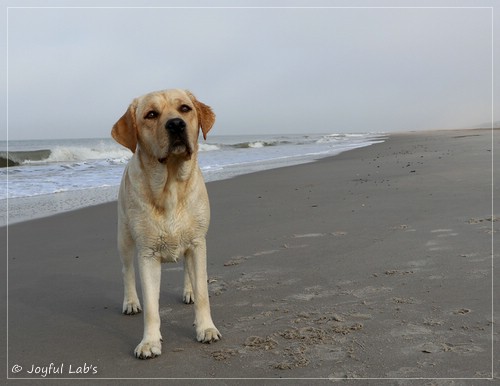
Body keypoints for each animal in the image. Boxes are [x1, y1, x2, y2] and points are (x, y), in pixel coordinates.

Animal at [111, 88, 221, 358]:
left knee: (189, 272)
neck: (170, 186)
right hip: (124, 236)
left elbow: (203, 293)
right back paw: (131, 302)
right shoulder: (147, 254)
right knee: (126, 270)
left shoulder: (197, 243)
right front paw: (149, 342)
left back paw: (189, 290)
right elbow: (152, 306)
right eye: (151, 114)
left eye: (185, 108)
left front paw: (206, 328)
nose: (176, 124)